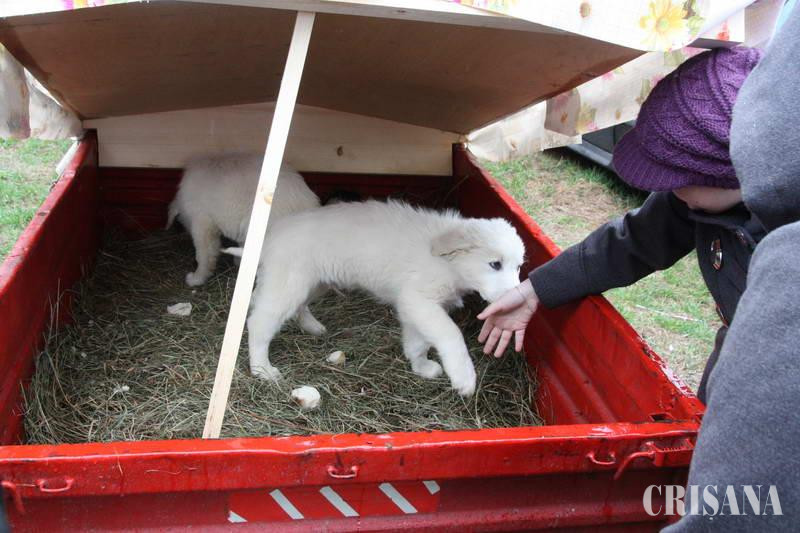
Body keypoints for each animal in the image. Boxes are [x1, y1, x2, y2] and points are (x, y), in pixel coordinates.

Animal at [241, 199, 525, 396]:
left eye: (518, 267)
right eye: (495, 264)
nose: (518, 301)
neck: (447, 262)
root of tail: (270, 235)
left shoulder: (416, 309)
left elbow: (417, 343)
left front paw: (421, 367)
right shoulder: (418, 301)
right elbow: (450, 334)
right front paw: (463, 376)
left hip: (313, 283)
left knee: (292, 305)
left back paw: (312, 326)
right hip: (289, 283)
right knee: (259, 322)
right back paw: (262, 369)